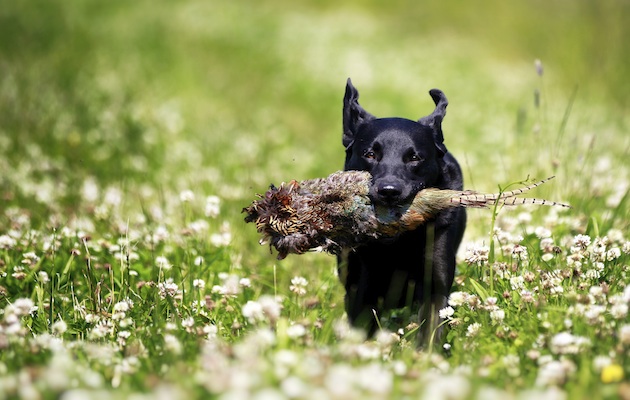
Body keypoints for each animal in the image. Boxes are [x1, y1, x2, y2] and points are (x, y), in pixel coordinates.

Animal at [338, 79, 466, 346]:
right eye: (370, 154)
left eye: (414, 157)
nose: (389, 191)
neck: (398, 244)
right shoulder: (363, 288)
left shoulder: (435, 286)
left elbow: (431, 333)